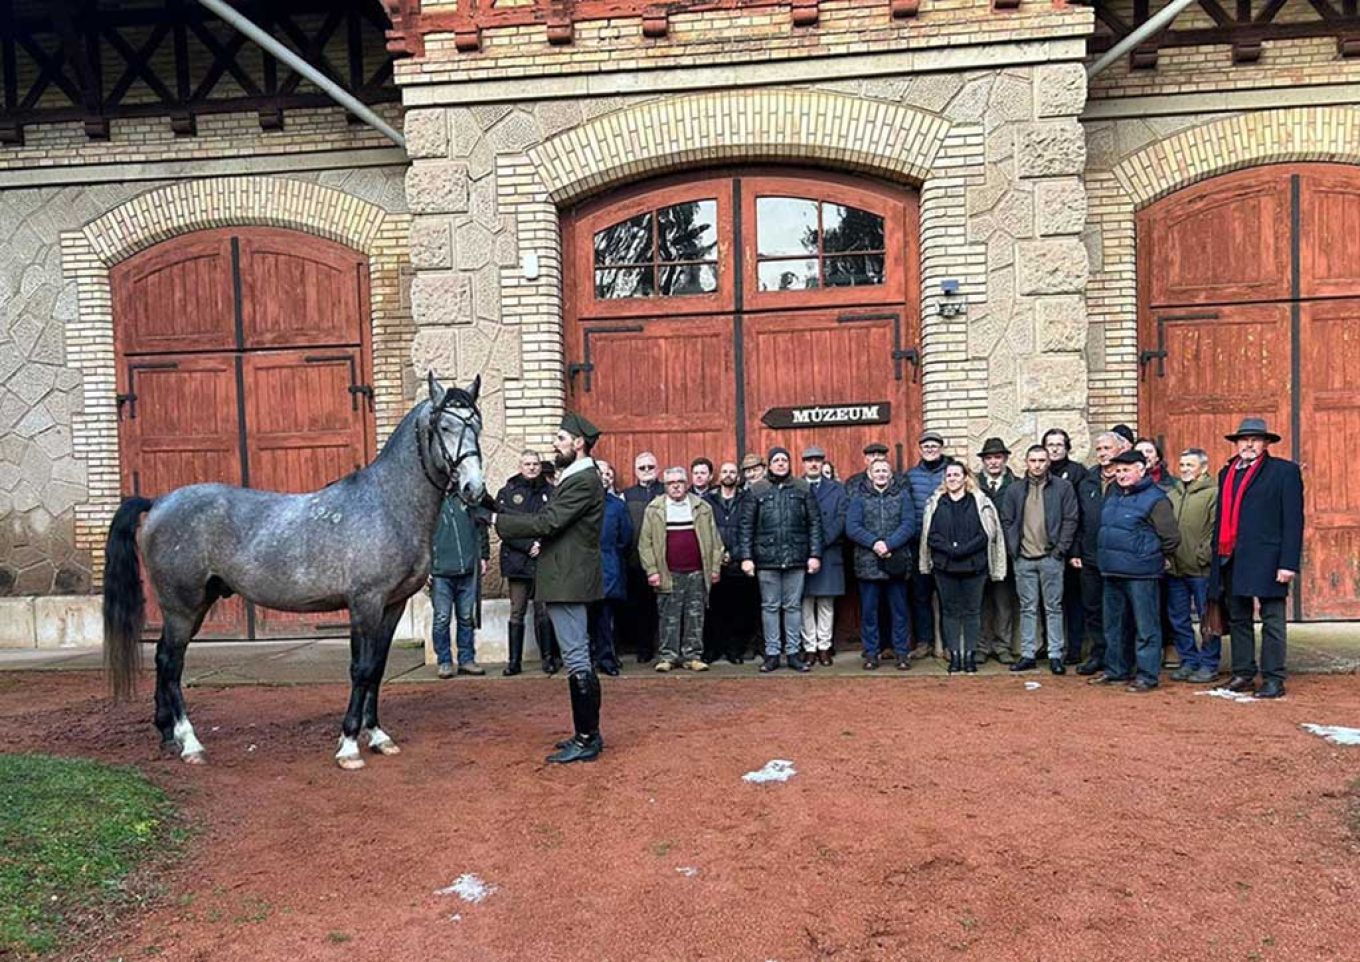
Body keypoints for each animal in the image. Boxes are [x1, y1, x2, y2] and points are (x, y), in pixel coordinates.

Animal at [107, 372, 489, 772]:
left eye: (477, 425)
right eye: (444, 426)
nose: (474, 489)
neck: (387, 505)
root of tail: (158, 502)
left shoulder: (392, 606)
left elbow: (378, 668)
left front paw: (378, 736)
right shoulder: (364, 605)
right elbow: (361, 669)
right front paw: (349, 746)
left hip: (193, 606)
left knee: (162, 659)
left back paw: (167, 735)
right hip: (182, 607)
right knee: (171, 663)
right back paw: (190, 743)